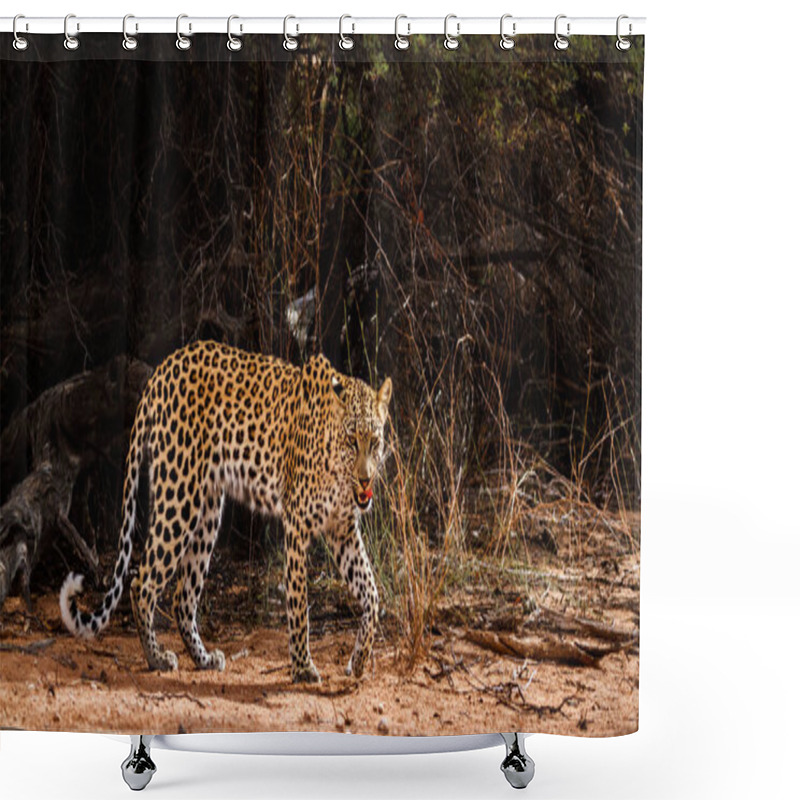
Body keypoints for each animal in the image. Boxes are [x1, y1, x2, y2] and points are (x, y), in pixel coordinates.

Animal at [59, 338, 390, 680]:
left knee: (182, 597)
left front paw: (359, 660)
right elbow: (299, 603)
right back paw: (157, 658)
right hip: (179, 496)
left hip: (206, 511)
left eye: (375, 441)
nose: (366, 479)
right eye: (351, 440)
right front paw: (302, 667)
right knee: (142, 583)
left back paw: (203, 658)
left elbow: (371, 591)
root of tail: (163, 369)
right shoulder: (297, 525)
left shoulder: (342, 529)